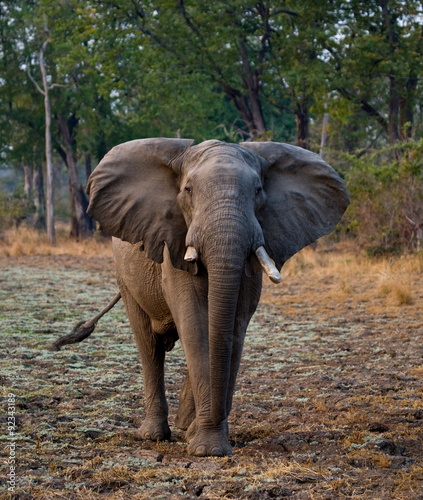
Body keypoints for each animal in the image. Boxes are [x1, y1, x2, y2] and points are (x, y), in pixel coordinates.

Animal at [53, 138, 352, 458]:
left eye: (259, 190)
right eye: (188, 190)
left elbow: (232, 328)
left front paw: (205, 440)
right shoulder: (174, 245)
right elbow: (196, 323)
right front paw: (207, 448)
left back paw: (184, 427)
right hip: (124, 273)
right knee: (149, 344)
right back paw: (154, 435)